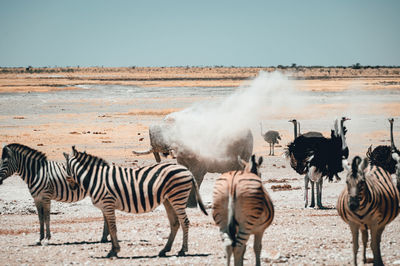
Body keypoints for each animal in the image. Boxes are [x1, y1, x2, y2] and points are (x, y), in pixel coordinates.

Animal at [64, 145, 208, 258]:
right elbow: (109, 228)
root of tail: (187, 170)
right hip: (169, 199)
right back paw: (164, 250)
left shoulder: (108, 204)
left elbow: (113, 228)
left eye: (65, 168)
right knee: (175, 223)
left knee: (185, 222)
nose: (73, 187)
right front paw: (113, 249)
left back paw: (183, 250)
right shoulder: (105, 207)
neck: (96, 178)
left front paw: (114, 251)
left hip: (177, 197)